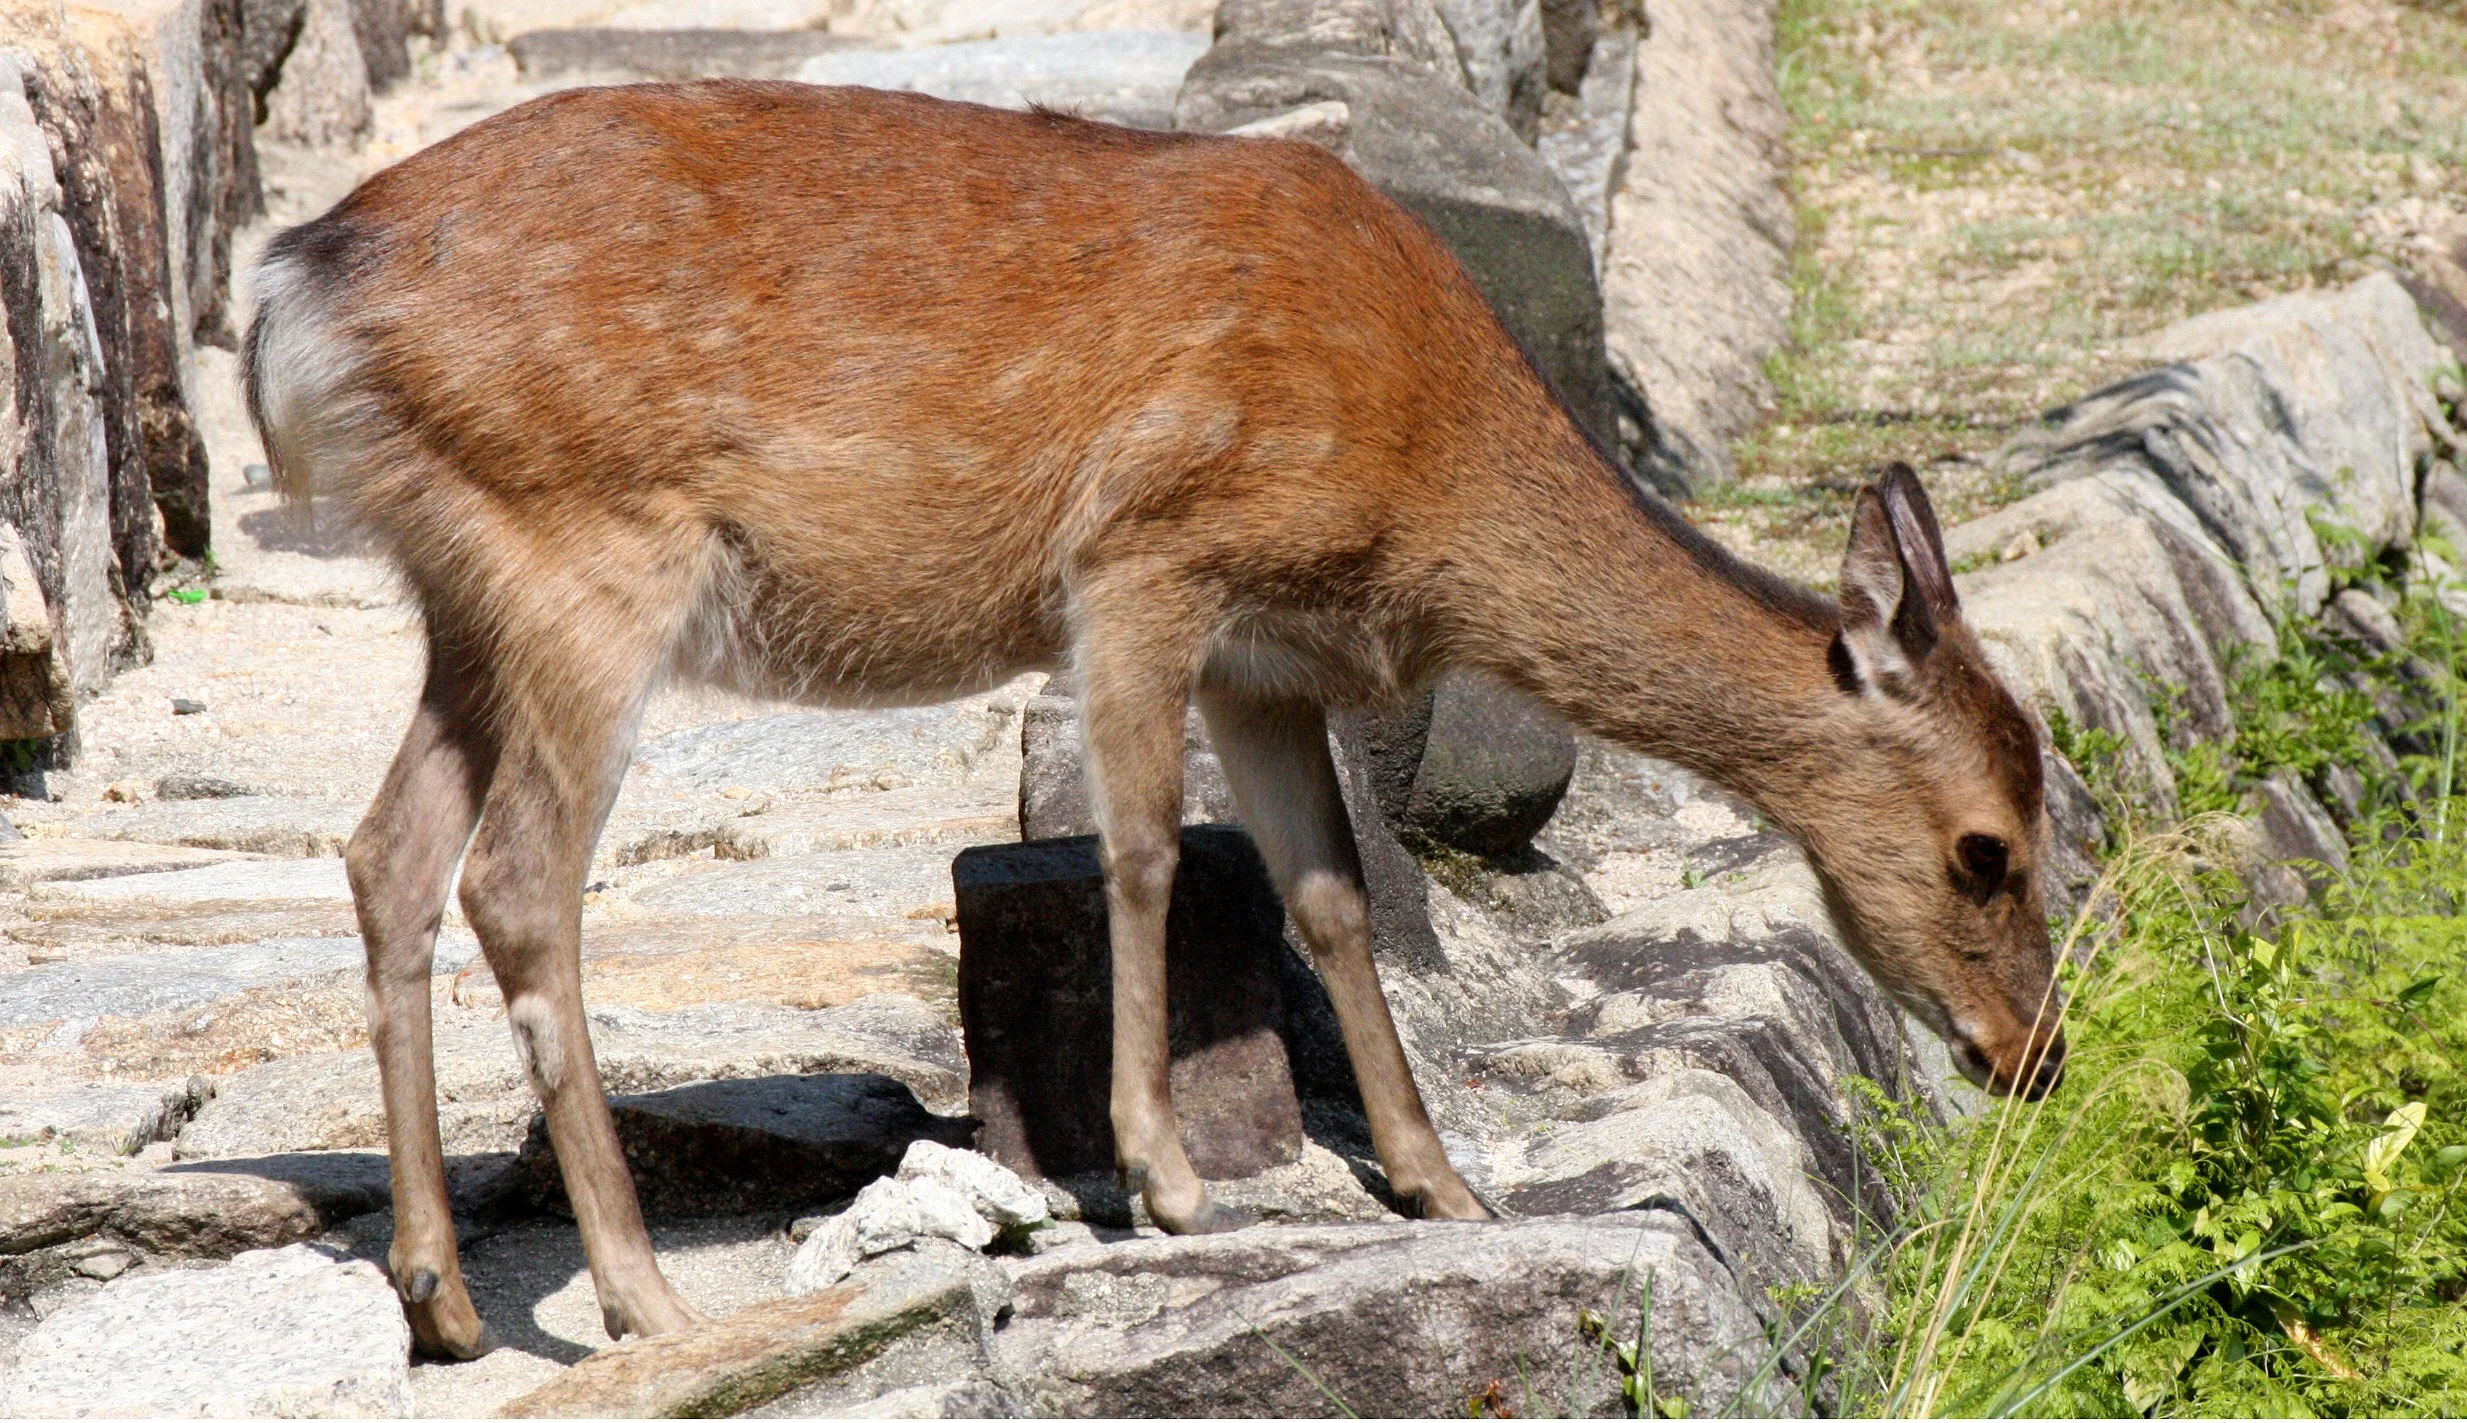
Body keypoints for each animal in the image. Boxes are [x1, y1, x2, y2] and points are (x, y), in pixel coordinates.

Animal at [242, 79, 2066, 1359]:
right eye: (1986, 846)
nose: (2034, 1054)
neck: (1427, 478)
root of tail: (292, 292)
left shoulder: (1265, 657)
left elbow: (1328, 893)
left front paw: (1439, 1179)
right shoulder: (1145, 556)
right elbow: (1134, 849)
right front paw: (1165, 1177)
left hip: (465, 583)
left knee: (384, 850)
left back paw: (442, 1295)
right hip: (585, 551)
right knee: (514, 880)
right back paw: (643, 1297)